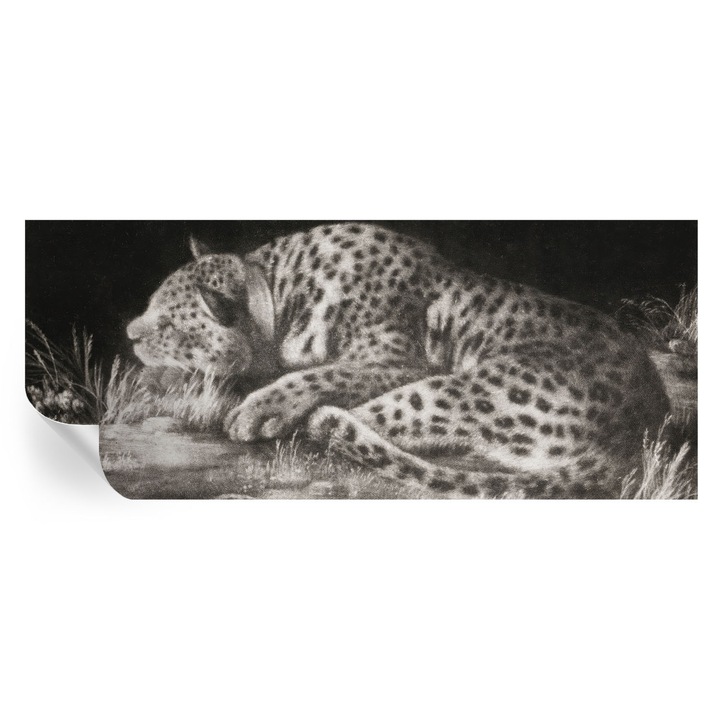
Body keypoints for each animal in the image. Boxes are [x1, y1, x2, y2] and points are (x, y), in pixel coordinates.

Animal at [126, 222, 670, 498]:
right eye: (150, 304)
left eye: (167, 323)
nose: (129, 333)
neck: (282, 291)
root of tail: (641, 432)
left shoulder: (394, 360)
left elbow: (321, 374)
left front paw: (257, 409)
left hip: (465, 386)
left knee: (363, 422)